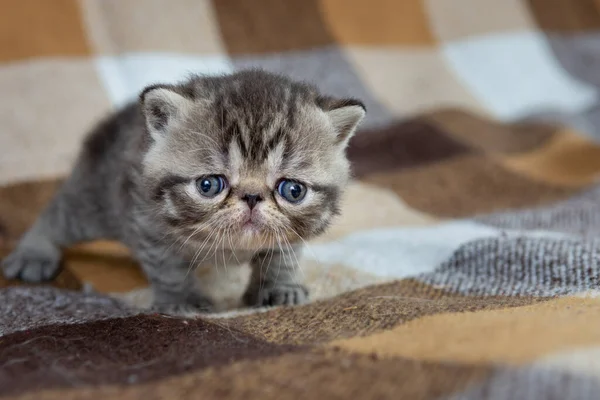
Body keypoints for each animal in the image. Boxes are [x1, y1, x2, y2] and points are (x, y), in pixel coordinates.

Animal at [1, 69, 366, 314]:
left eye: (292, 190)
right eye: (209, 185)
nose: (251, 197)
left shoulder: (291, 232)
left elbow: (282, 255)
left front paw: (279, 287)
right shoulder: (145, 222)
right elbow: (169, 268)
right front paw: (183, 300)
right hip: (97, 202)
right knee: (57, 215)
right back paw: (33, 253)